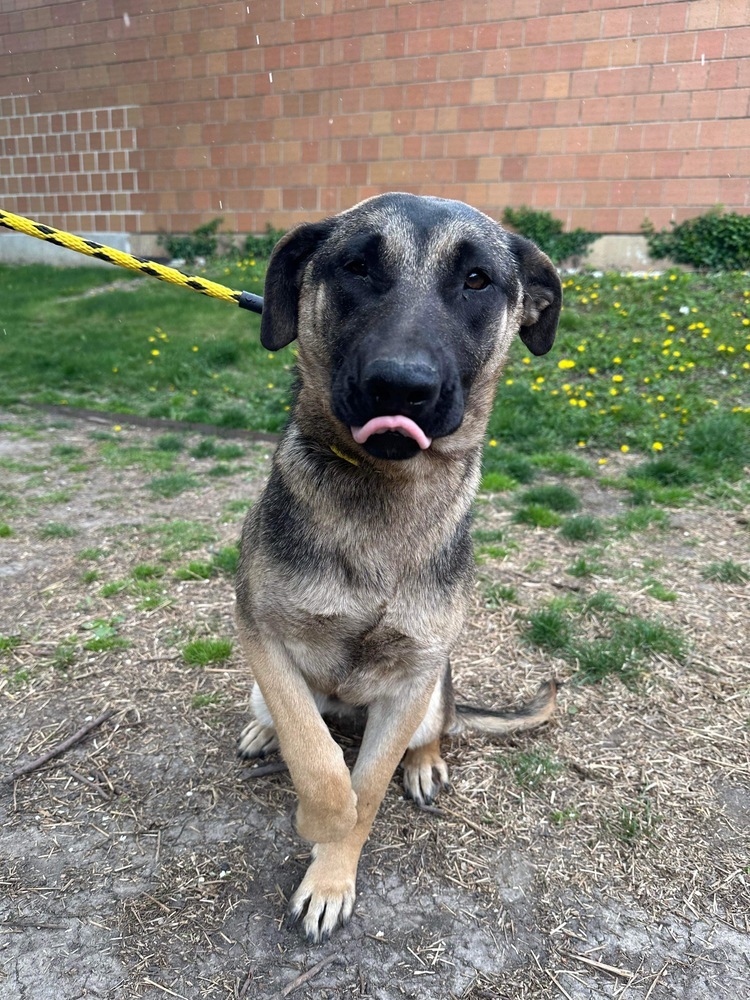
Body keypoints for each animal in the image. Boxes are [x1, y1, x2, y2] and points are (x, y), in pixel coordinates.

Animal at [238, 195, 560, 944]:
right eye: (357, 266)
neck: (383, 491)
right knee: (291, 718)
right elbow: (318, 759)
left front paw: (333, 869)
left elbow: (367, 787)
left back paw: (426, 762)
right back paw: (264, 730)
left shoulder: (412, 674)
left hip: (432, 694)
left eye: (477, 280)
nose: (401, 385)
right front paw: (321, 816)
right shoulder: (261, 631)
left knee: (433, 731)